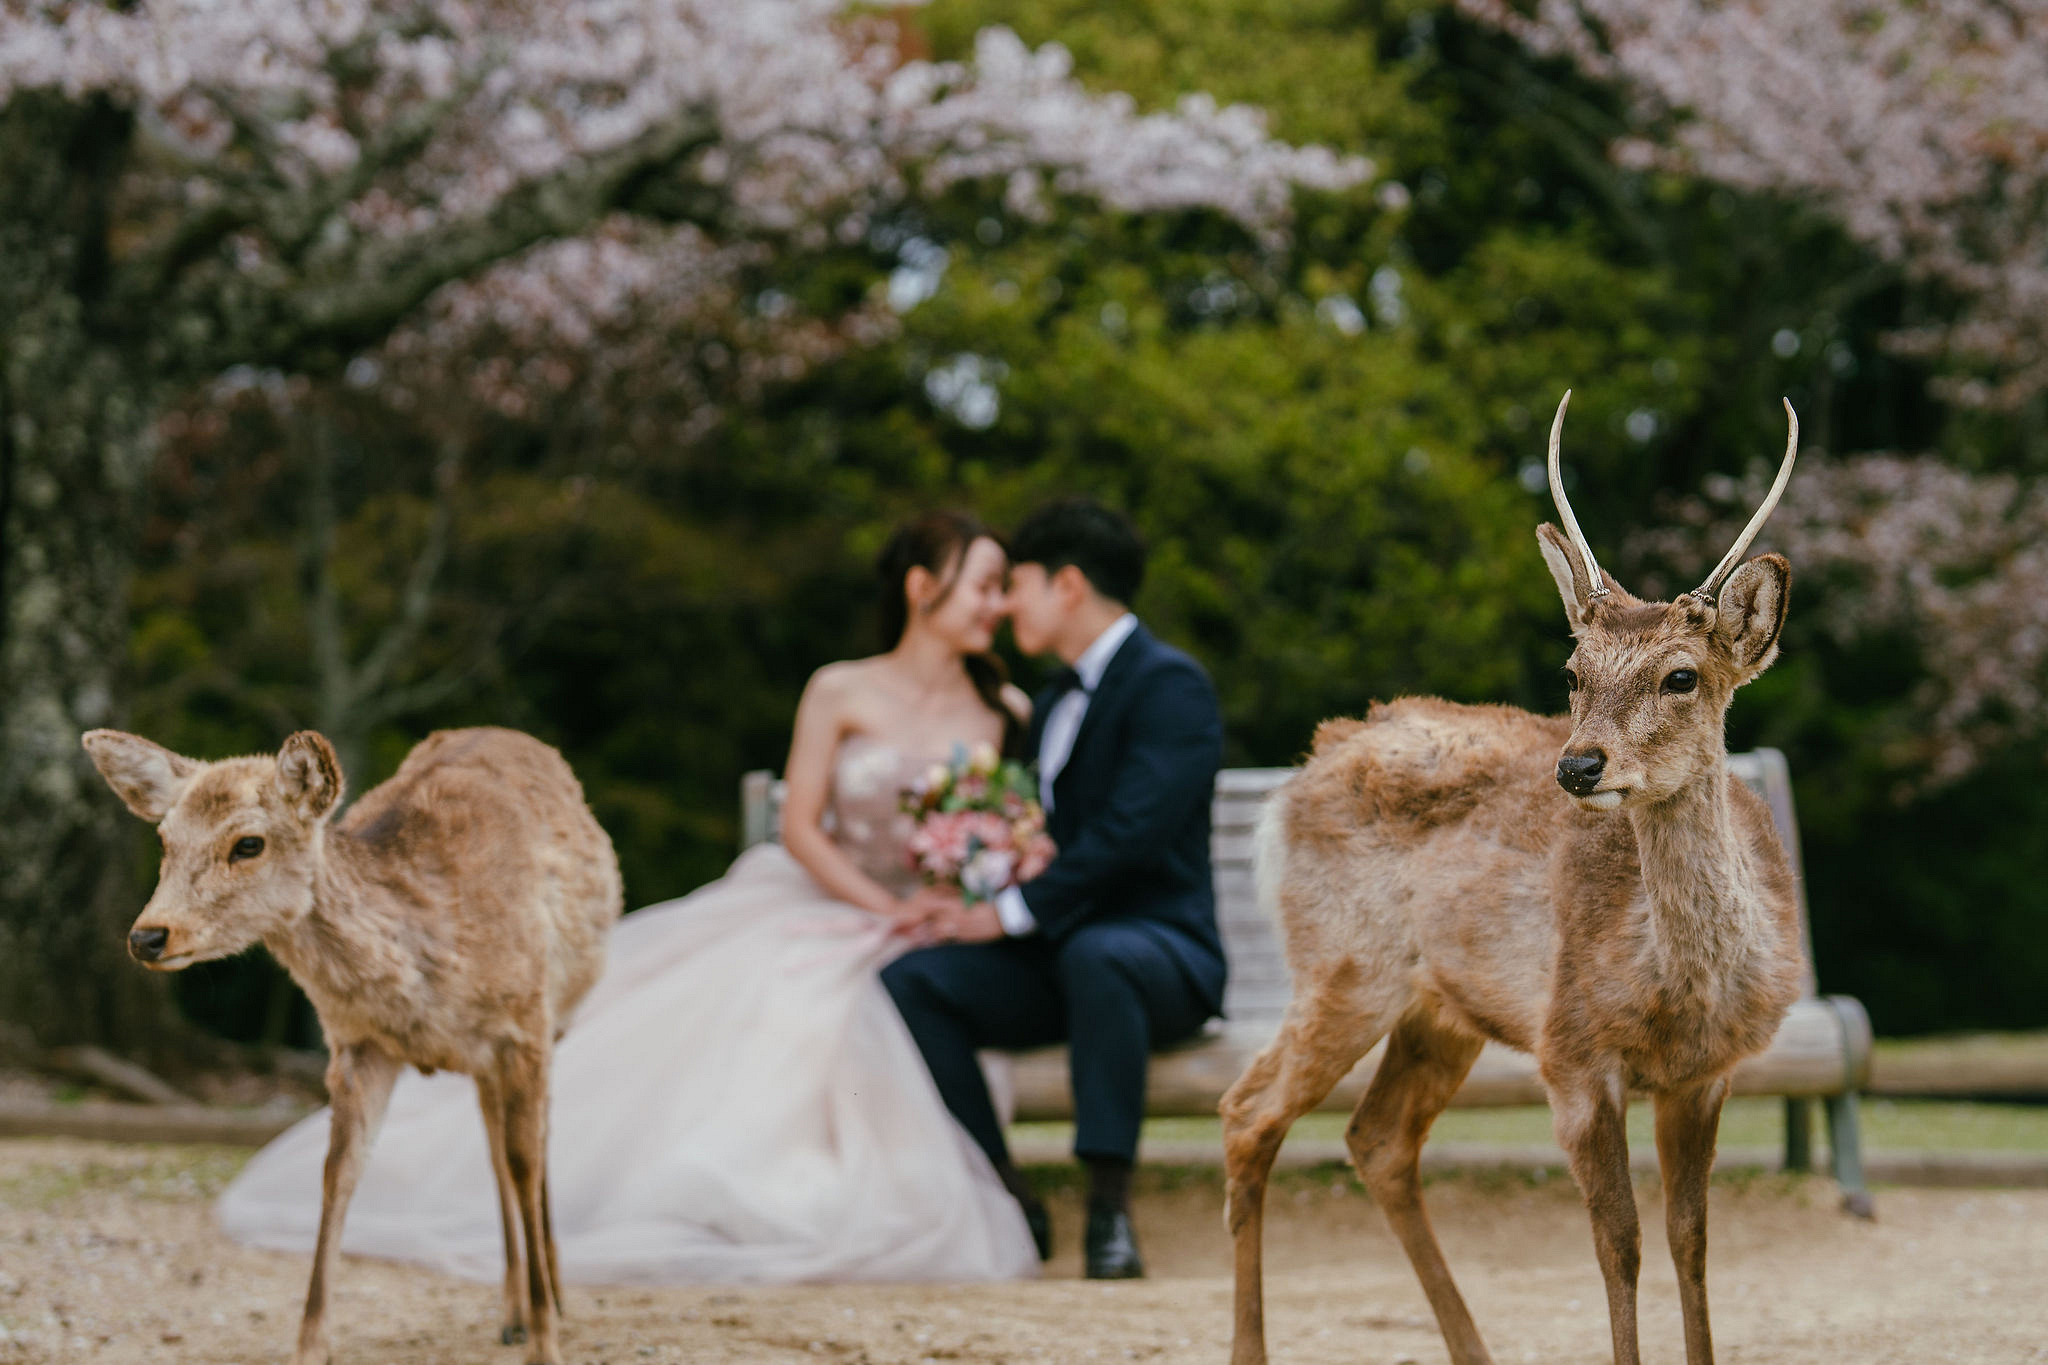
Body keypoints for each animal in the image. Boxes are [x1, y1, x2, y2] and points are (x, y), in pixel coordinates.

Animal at [82, 725, 622, 1365]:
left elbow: (525, 1160)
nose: (148, 935)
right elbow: (338, 1171)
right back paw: (512, 1310)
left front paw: (546, 1345)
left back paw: (550, 1300)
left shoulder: (526, 1025)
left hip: (553, 1020)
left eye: (248, 843)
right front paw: (310, 1346)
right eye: (164, 841)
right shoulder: (356, 1044)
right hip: (483, 1064)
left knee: (529, 1148)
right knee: (493, 1147)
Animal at [1220, 392, 1809, 1365]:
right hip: (1344, 967)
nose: (1577, 765)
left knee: (1376, 1138)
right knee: (1248, 1111)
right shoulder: (1569, 1051)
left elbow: (1691, 1240)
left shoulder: (1707, 1073)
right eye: (1572, 672)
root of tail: (1301, 772)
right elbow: (1619, 1243)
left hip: (1441, 1011)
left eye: (1682, 675)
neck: (1678, 991)